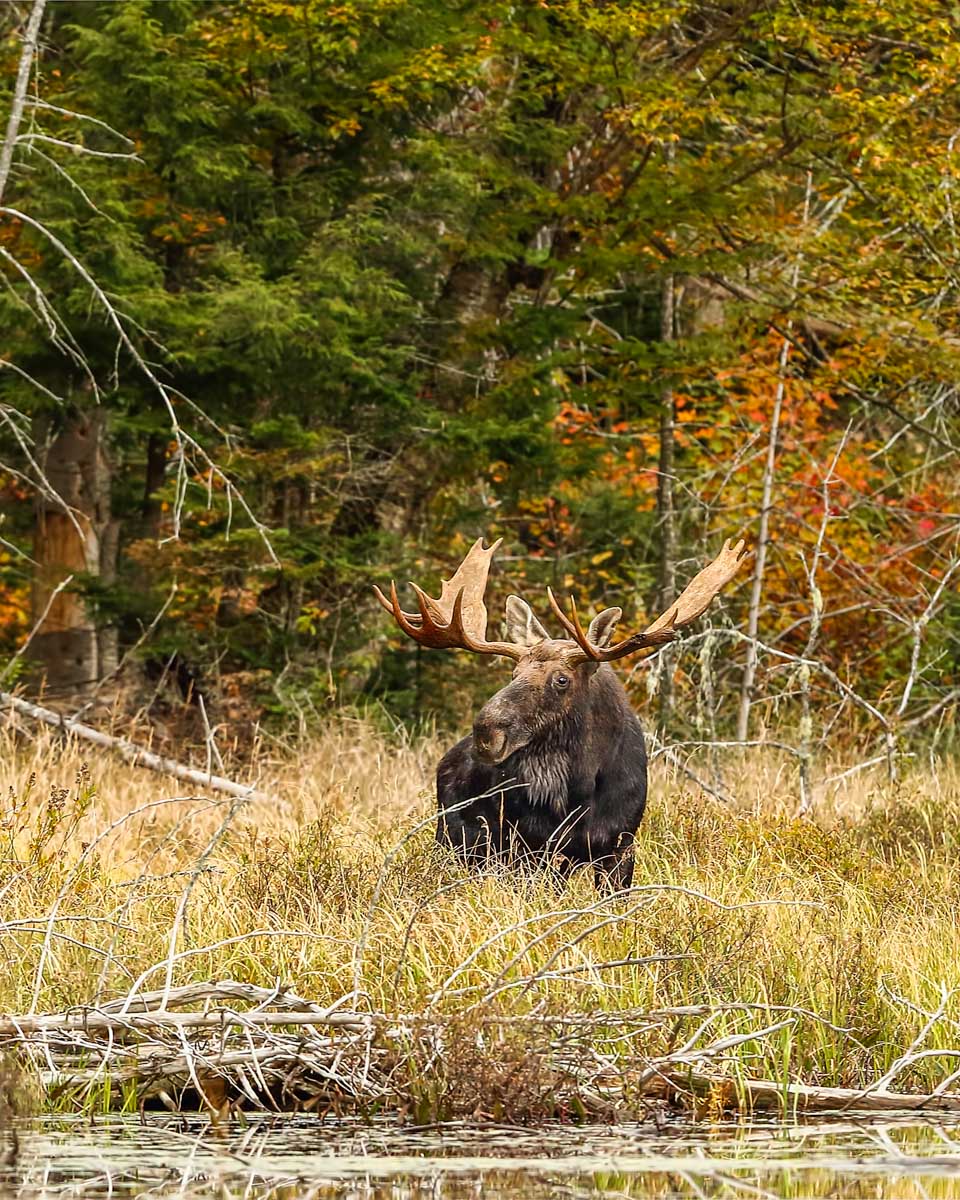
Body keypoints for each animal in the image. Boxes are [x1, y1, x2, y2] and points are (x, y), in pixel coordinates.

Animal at [375, 537, 747, 889]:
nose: (486, 732)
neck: (583, 789)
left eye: (562, 679)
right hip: (460, 839)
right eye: (514, 673)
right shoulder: (530, 846)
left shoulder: (621, 845)